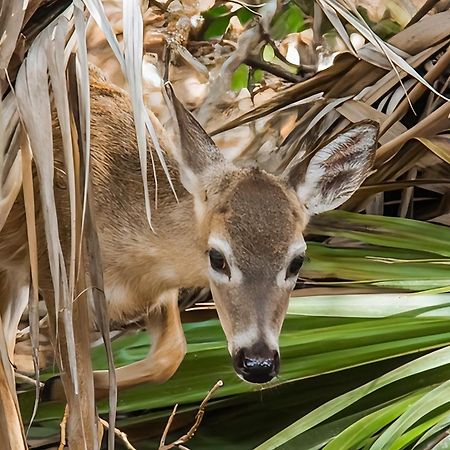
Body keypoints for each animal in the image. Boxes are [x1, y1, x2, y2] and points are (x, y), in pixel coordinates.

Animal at [0, 68, 380, 400]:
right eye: (217, 257)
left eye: (297, 261)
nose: (258, 362)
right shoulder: (57, 272)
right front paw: (56, 388)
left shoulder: (159, 293)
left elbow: (172, 353)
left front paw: (54, 387)